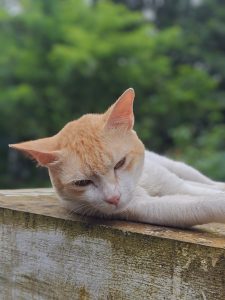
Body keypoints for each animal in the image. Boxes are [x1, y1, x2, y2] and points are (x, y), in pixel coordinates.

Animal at [9, 88, 225, 227]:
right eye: (82, 182)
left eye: (120, 163)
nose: (113, 198)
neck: (141, 183)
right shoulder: (148, 207)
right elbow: (202, 204)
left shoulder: (178, 186)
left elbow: (206, 193)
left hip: (179, 168)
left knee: (206, 182)